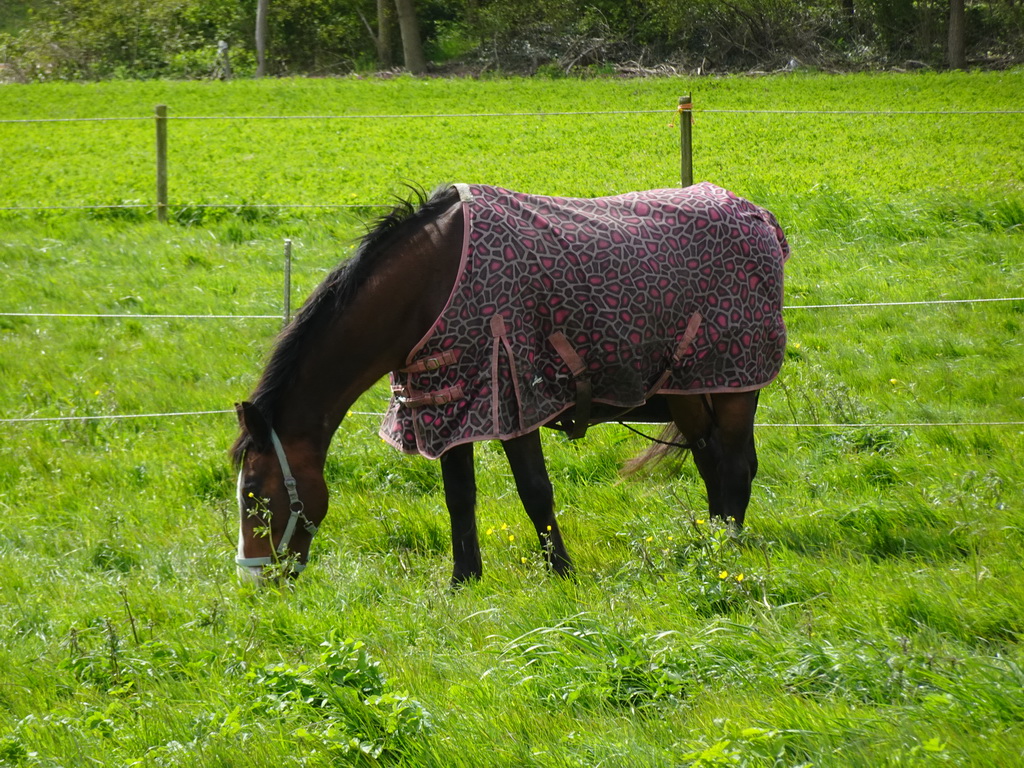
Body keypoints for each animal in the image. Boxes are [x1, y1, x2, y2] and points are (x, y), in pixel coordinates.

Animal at [234, 185, 790, 581]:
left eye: (255, 494)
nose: (256, 578)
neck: (431, 286)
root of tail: (761, 218)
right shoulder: (447, 405)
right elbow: (459, 496)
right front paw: (464, 579)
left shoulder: (513, 398)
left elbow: (535, 491)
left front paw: (561, 572)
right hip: (688, 390)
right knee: (710, 460)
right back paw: (711, 545)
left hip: (737, 386)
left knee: (736, 465)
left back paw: (726, 551)